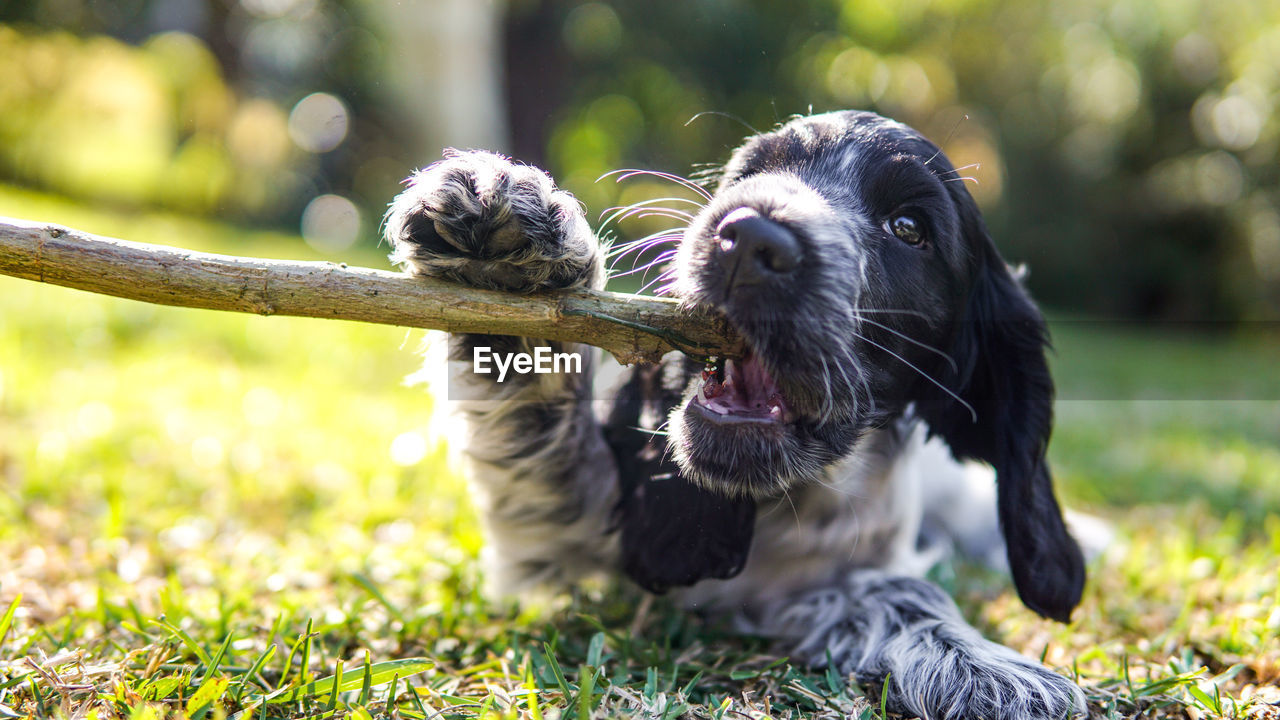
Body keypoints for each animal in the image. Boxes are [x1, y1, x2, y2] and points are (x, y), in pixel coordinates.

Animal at [381, 110, 1090, 717]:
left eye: (910, 229)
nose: (749, 238)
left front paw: (985, 667)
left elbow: (901, 591)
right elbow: (526, 379)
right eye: (748, 175)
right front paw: (505, 242)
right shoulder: (559, 526)